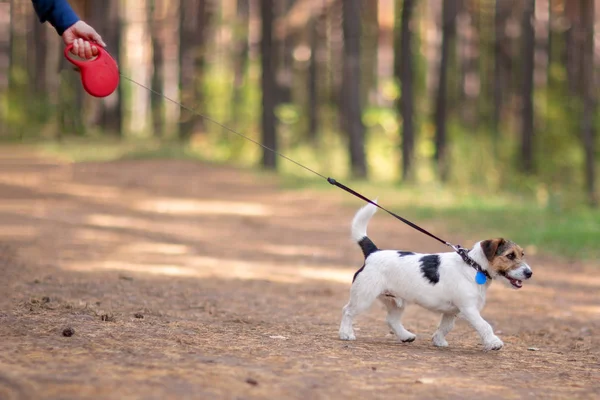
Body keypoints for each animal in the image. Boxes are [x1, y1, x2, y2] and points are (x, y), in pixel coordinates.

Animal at [340, 203, 532, 350]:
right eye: (510, 255)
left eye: (522, 254)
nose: (529, 273)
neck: (473, 265)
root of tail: (373, 252)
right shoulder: (469, 309)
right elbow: (485, 325)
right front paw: (494, 343)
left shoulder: (451, 312)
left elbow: (445, 327)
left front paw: (438, 340)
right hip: (363, 297)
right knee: (348, 311)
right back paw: (345, 333)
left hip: (395, 301)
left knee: (391, 320)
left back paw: (405, 335)